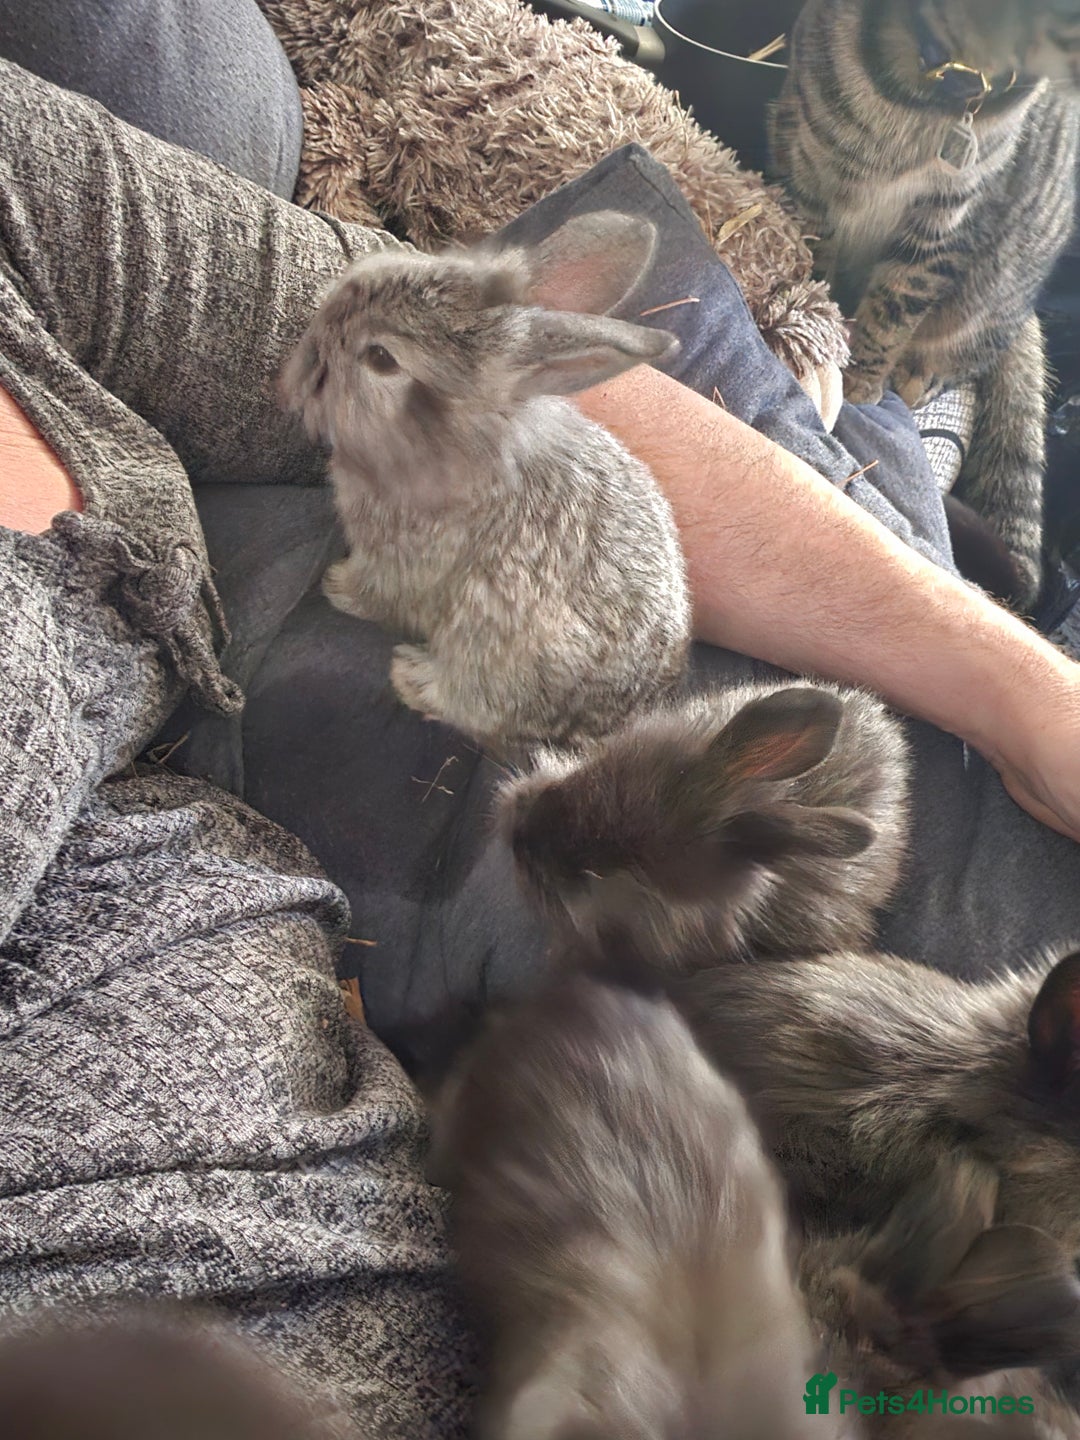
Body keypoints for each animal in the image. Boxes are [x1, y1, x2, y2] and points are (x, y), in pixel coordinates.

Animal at [278, 209, 692, 756]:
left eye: (382, 358)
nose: (316, 335)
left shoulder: (400, 566)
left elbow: (375, 593)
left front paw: (336, 585)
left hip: (492, 653)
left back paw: (411, 675)